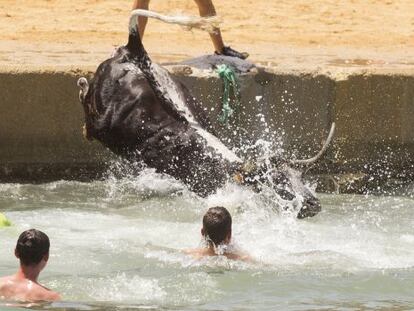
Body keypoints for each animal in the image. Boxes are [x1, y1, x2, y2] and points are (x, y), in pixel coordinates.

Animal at [76, 15, 334, 219]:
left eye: (299, 176)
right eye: (278, 180)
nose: (313, 205)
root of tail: (134, 52)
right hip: (102, 121)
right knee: (88, 111)